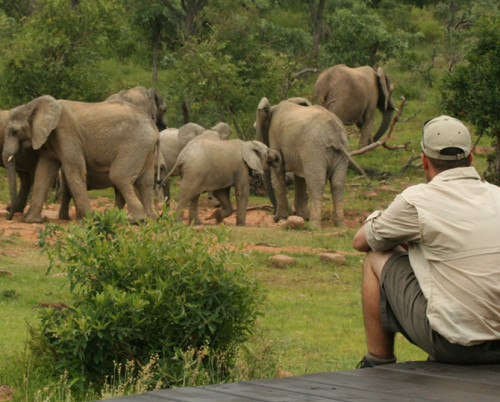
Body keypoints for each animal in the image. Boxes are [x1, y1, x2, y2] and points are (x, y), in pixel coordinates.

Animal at [1, 96, 158, 225]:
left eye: (14, 132)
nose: (9, 216)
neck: (33, 105)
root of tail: (154, 127)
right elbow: (43, 172)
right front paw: (32, 220)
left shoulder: (66, 133)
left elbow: (74, 170)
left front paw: (91, 220)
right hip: (146, 149)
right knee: (145, 182)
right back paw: (149, 219)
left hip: (135, 145)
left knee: (119, 176)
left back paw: (133, 219)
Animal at [256, 96, 366, 228]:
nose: (273, 214)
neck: (273, 108)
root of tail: (335, 136)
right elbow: (299, 177)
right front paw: (301, 217)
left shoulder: (275, 136)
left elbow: (279, 172)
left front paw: (281, 218)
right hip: (341, 151)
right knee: (337, 184)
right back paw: (341, 225)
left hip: (315, 149)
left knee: (316, 182)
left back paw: (314, 226)